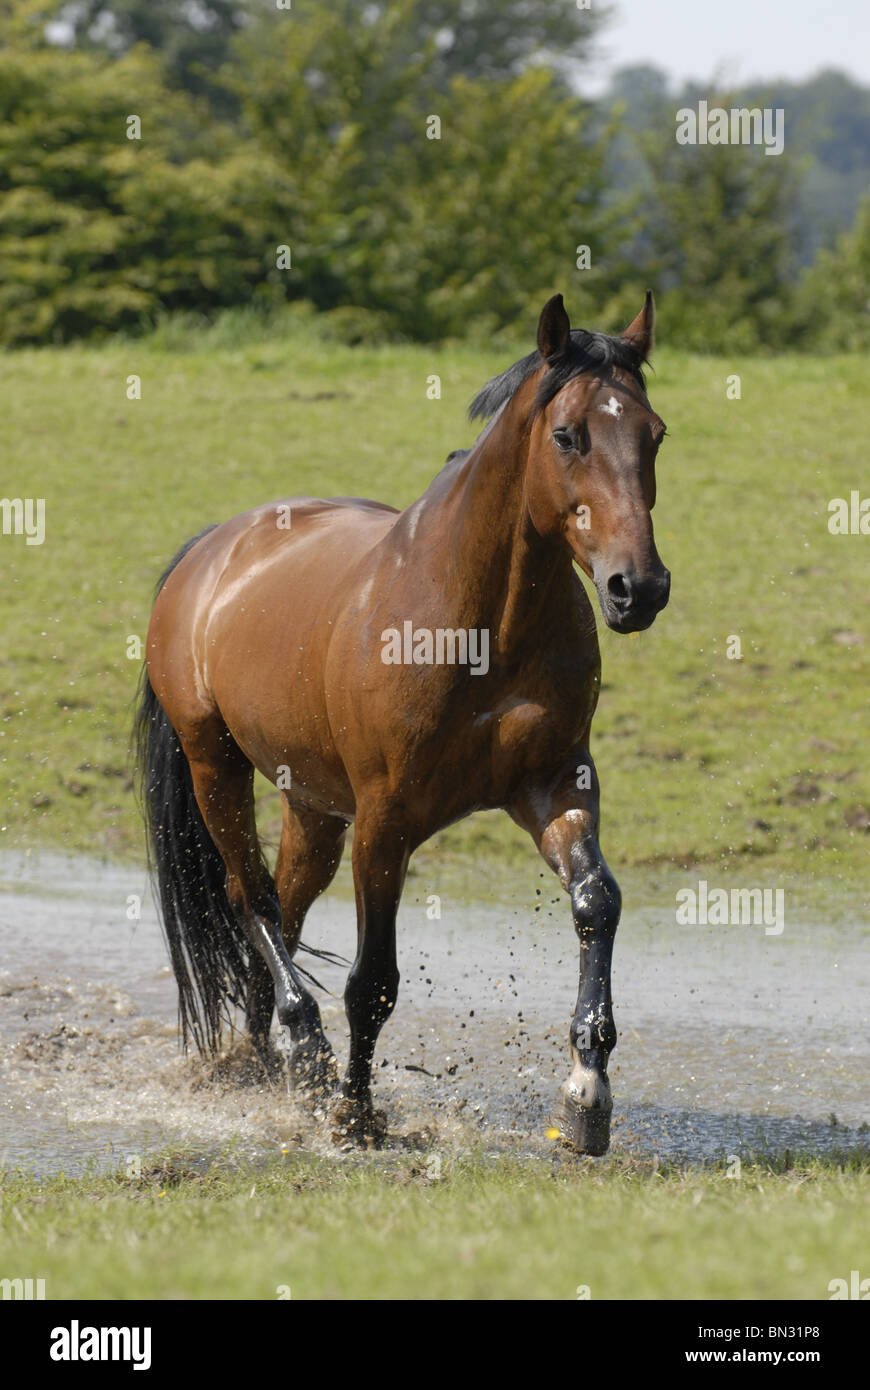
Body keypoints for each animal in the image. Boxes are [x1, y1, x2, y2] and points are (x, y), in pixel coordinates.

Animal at [135, 293, 667, 1150]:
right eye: (568, 435)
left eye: (654, 433)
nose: (638, 587)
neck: (481, 621)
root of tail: (210, 552)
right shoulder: (386, 820)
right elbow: (374, 981)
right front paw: (357, 1114)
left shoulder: (556, 785)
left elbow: (598, 903)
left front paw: (586, 1094)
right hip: (216, 764)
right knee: (252, 900)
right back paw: (311, 1059)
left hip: (313, 807)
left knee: (283, 910)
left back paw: (265, 1062)